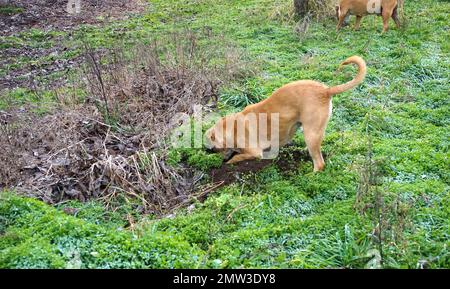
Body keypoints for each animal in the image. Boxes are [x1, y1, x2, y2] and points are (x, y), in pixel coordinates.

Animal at [206, 55, 368, 170]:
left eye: (210, 143)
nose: (206, 151)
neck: (231, 127)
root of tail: (325, 90)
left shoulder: (255, 152)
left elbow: (239, 157)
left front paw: (229, 161)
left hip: (311, 133)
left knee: (320, 164)